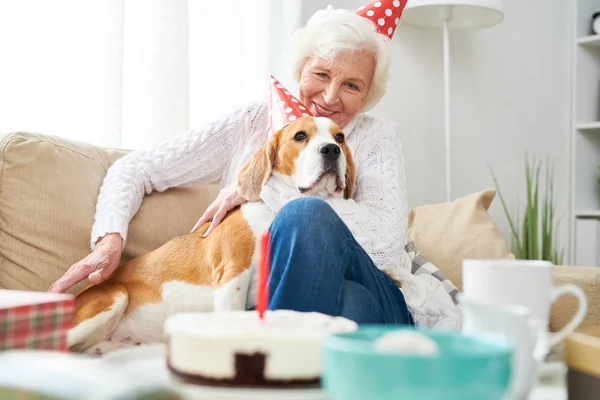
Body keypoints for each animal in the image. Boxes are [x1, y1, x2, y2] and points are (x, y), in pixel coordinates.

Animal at [67, 116, 356, 356]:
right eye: (300, 136)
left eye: (340, 137)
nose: (331, 149)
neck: (276, 210)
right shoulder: (232, 275)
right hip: (113, 297)